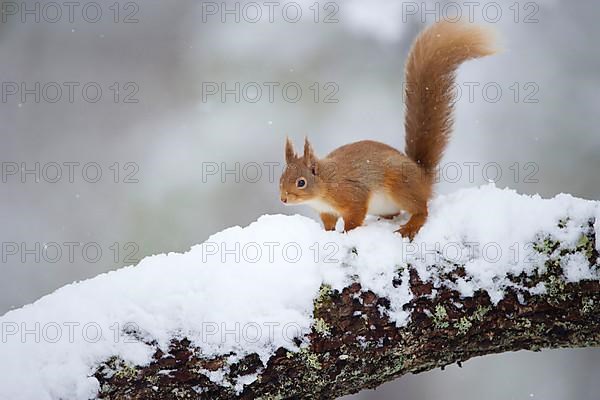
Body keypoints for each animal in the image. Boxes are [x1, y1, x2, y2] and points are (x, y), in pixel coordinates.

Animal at [278, 21, 494, 238]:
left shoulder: (353, 195)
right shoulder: (326, 212)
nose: (283, 199)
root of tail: (423, 179)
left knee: (421, 210)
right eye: (281, 177)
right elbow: (329, 224)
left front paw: (348, 233)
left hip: (400, 186)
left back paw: (410, 226)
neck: (325, 184)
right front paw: (328, 233)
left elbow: (354, 218)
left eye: (301, 182)